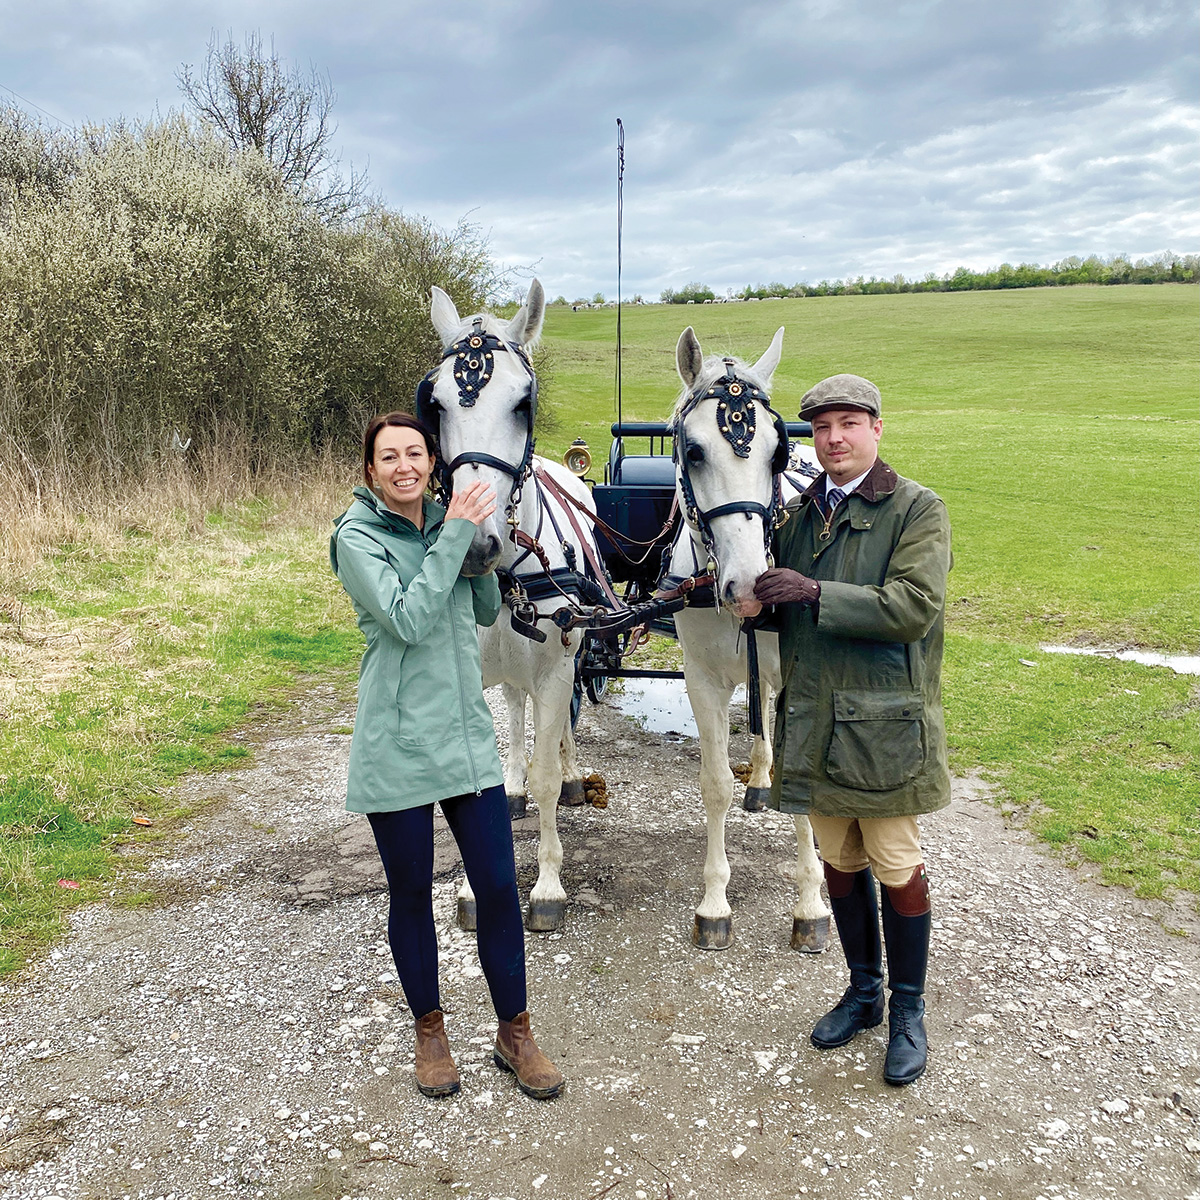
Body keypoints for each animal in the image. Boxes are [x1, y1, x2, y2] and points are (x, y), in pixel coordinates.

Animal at [422, 283, 595, 936]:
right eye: (436, 405)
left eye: (524, 403)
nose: (474, 544)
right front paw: (472, 889)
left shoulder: (556, 669)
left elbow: (548, 772)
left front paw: (547, 885)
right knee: (517, 713)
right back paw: (516, 781)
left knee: (559, 729)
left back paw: (570, 774)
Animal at [662, 326, 830, 955]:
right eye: (693, 451)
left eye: (775, 454)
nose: (751, 587)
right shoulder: (702, 680)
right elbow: (713, 785)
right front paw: (714, 902)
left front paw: (811, 903)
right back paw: (758, 779)